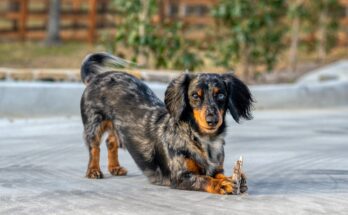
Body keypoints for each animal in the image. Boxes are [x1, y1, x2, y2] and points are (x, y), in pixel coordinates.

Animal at [80, 52, 254, 195]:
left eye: (221, 95)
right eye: (195, 96)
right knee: (94, 148)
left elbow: (217, 174)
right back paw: (93, 171)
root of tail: (95, 78)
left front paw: (232, 178)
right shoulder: (179, 176)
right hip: (94, 124)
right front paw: (221, 184)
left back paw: (115, 167)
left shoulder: (216, 167)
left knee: (111, 142)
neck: (204, 140)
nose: (212, 120)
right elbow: (204, 179)